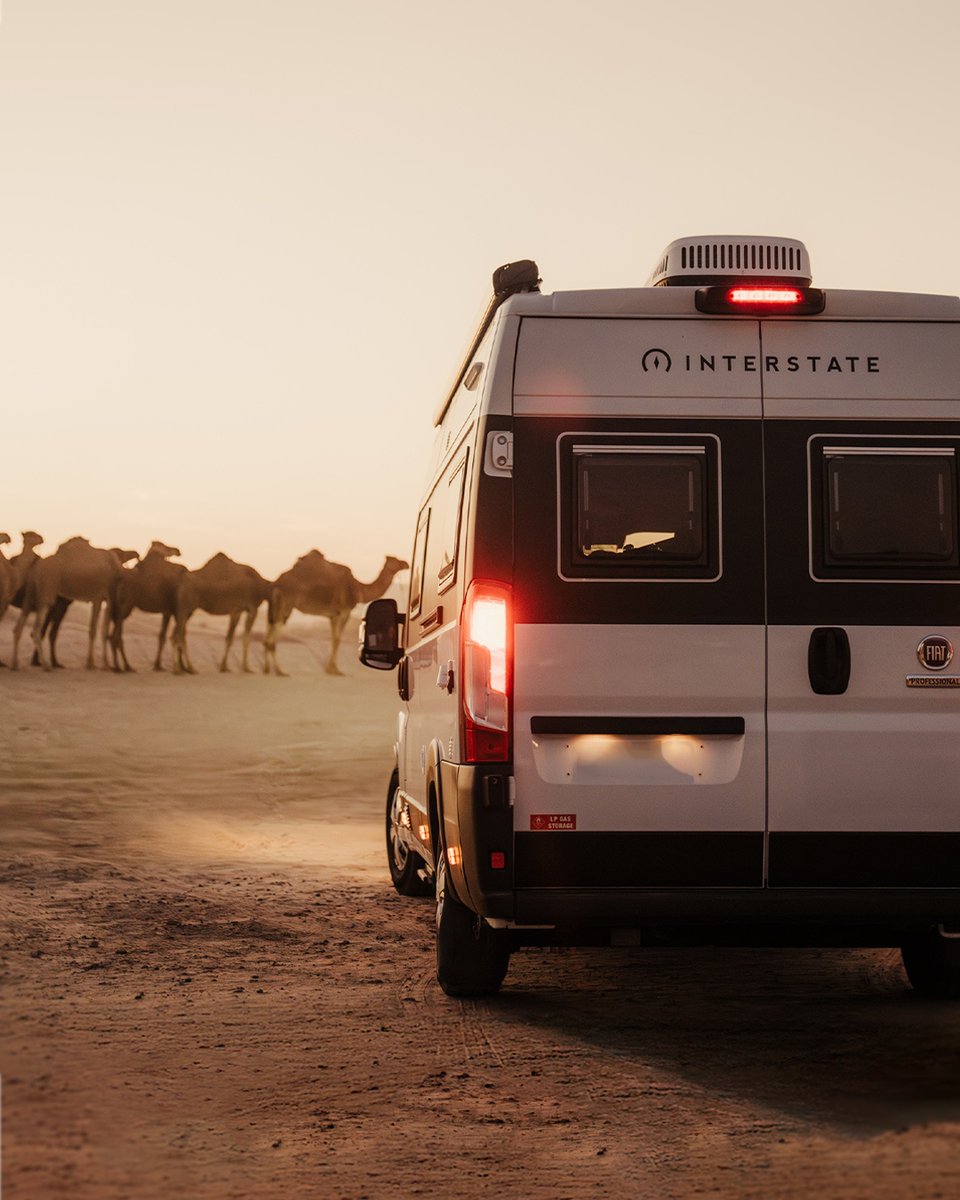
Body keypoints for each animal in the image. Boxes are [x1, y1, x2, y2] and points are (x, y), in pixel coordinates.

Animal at [11, 537, 133, 670]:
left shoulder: (98, 598)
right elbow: (102, 631)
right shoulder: (106, 597)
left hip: (31, 592)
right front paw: (104, 664)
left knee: (20, 624)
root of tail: (36, 565)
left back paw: (15, 664)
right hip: (46, 590)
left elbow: (93, 629)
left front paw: (90, 663)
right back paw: (46, 665)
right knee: (36, 629)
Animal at [109, 541, 186, 672]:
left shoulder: (167, 611)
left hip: (121, 609)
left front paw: (158, 665)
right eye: (166, 547)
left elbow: (162, 636)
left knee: (114, 636)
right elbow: (176, 634)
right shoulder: (173, 610)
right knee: (116, 636)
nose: (178, 550)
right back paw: (122, 667)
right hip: (124, 607)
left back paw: (123, 666)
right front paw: (180, 667)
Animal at [263, 552, 409, 676]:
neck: (359, 588)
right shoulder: (344, 612)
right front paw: (335, 670)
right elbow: (338, 639)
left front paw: (331, 668)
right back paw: (280, 670)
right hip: (287, 602)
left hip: (278, 604)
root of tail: (276, 582)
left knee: (270, 628)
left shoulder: (332, 615)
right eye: (396, 560)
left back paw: (267, 668)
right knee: (274, 630)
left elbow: (334, 638)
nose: (406, 563)